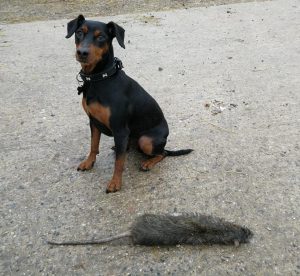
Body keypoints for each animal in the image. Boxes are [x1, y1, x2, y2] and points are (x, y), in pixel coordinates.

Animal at [65, 15, 192, 192]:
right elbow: (93, 146)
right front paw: (89, 163)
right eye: (78, 33)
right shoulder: (93, 122)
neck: (100, 79)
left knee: (162, 153)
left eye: (101, 37)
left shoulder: (120, 130)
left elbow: (119, 162)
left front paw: (115, 183)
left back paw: (148, 162)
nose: (82, 52)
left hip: (146, 141)